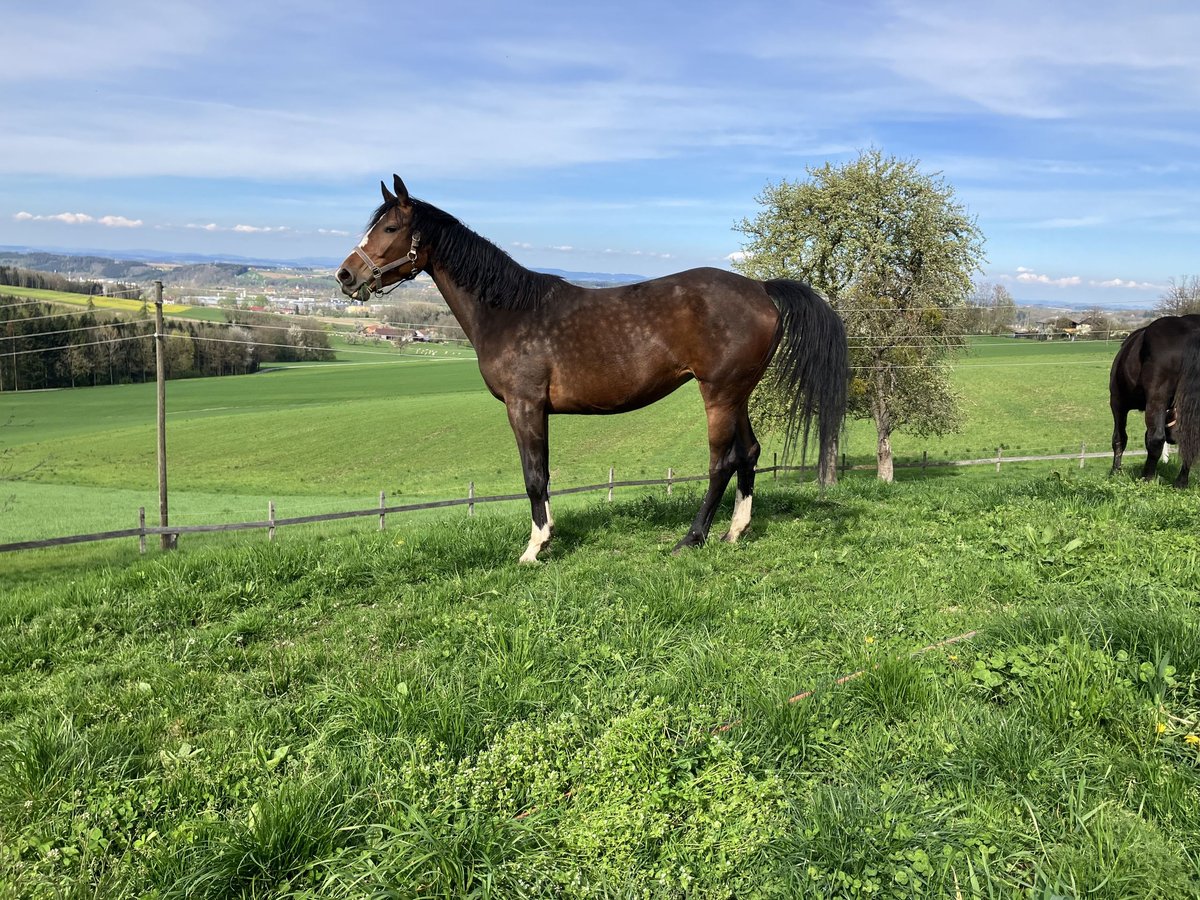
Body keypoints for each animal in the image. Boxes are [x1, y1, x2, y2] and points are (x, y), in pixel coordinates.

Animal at [333, 174, 849, 564]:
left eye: (391, 227)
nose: (345, 276)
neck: (508, 311)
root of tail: (761, 289)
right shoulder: (536, 411)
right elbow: (543, 474)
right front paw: (546, 537)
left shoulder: (524, 406)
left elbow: (533, 476)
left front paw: (534, 548)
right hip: (736, 392)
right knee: (750, 452)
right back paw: (734, 532)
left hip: (718, 394)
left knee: (722, 461)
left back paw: (691, 538)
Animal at [1108, 314, 1200, 487]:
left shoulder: (1117, 403)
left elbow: (1119, 438)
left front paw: (1115, 472)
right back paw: (1181, 482)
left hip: (1156, 398)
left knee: (1156, 439)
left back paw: (1146, 478)